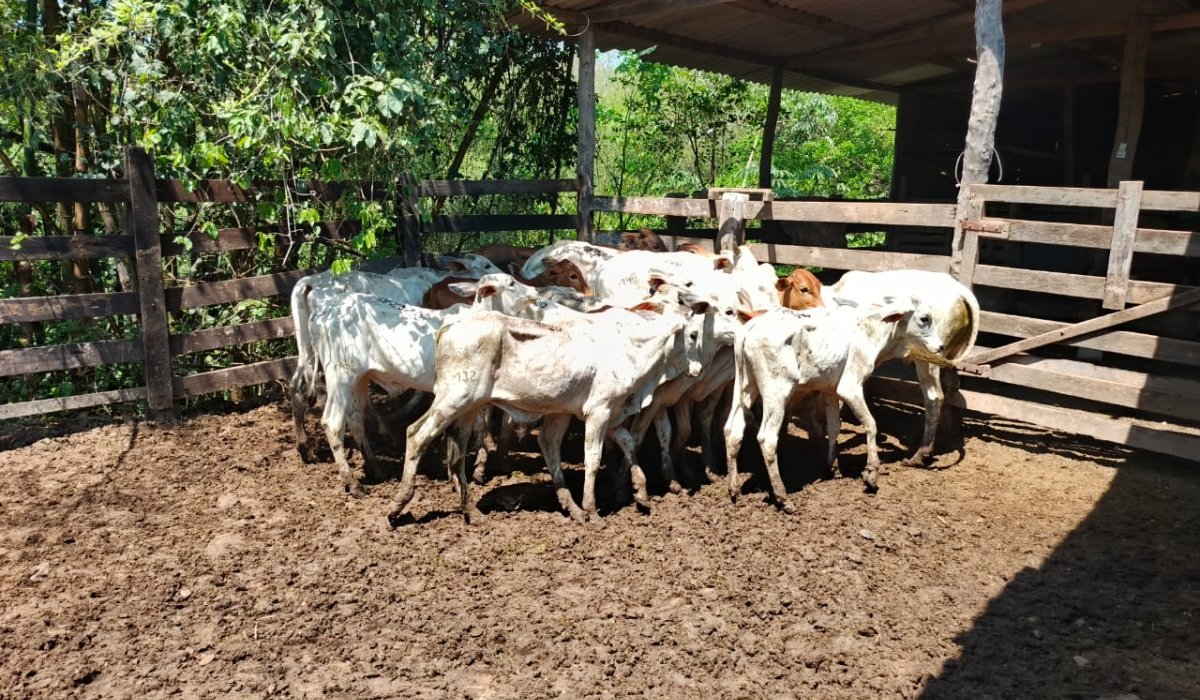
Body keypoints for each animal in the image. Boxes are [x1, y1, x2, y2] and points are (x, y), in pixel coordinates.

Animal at [723, 295, 945, 513]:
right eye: (924, 318)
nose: (942, 346)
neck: (869, 331)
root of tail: (751, 326)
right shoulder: (850, 388)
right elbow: (871, 424)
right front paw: (871, 474)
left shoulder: (830, 390)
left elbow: (834, 428)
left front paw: (833, 467)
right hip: (777, 391)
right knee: (767, 439)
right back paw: (782, 497)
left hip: (745, 386)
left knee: (732, 430)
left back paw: (734, 489)